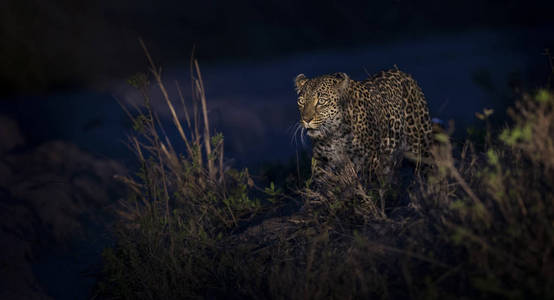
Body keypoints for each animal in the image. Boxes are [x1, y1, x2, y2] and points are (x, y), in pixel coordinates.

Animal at [294, 68, 432, 188]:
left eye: (322, 101)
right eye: (301, 101)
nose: (306, 120)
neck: (335, 134)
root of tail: (402, 72)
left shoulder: (369, 163)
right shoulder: (322, 162)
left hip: (420, 145)